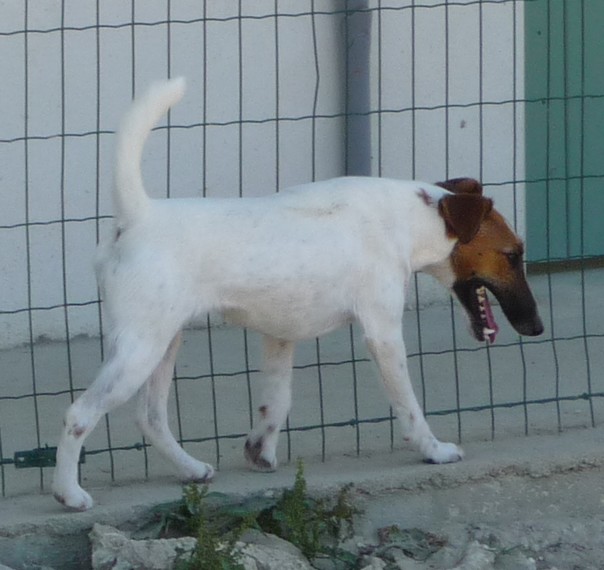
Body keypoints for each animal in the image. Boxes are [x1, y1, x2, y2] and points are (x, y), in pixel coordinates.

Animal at [52, 78, 543, 510]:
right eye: (513, 254)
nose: (538, 327)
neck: (412, 219)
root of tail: (139, 216)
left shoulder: (279, 337)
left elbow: (277, 400)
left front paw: (261, 450)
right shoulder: (383, 334)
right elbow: (408, 404)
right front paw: (434, 450)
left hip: (163, 342)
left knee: (150, 416)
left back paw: (190, 469)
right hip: (140, 348)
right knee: (78, 414)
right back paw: (69, 494)